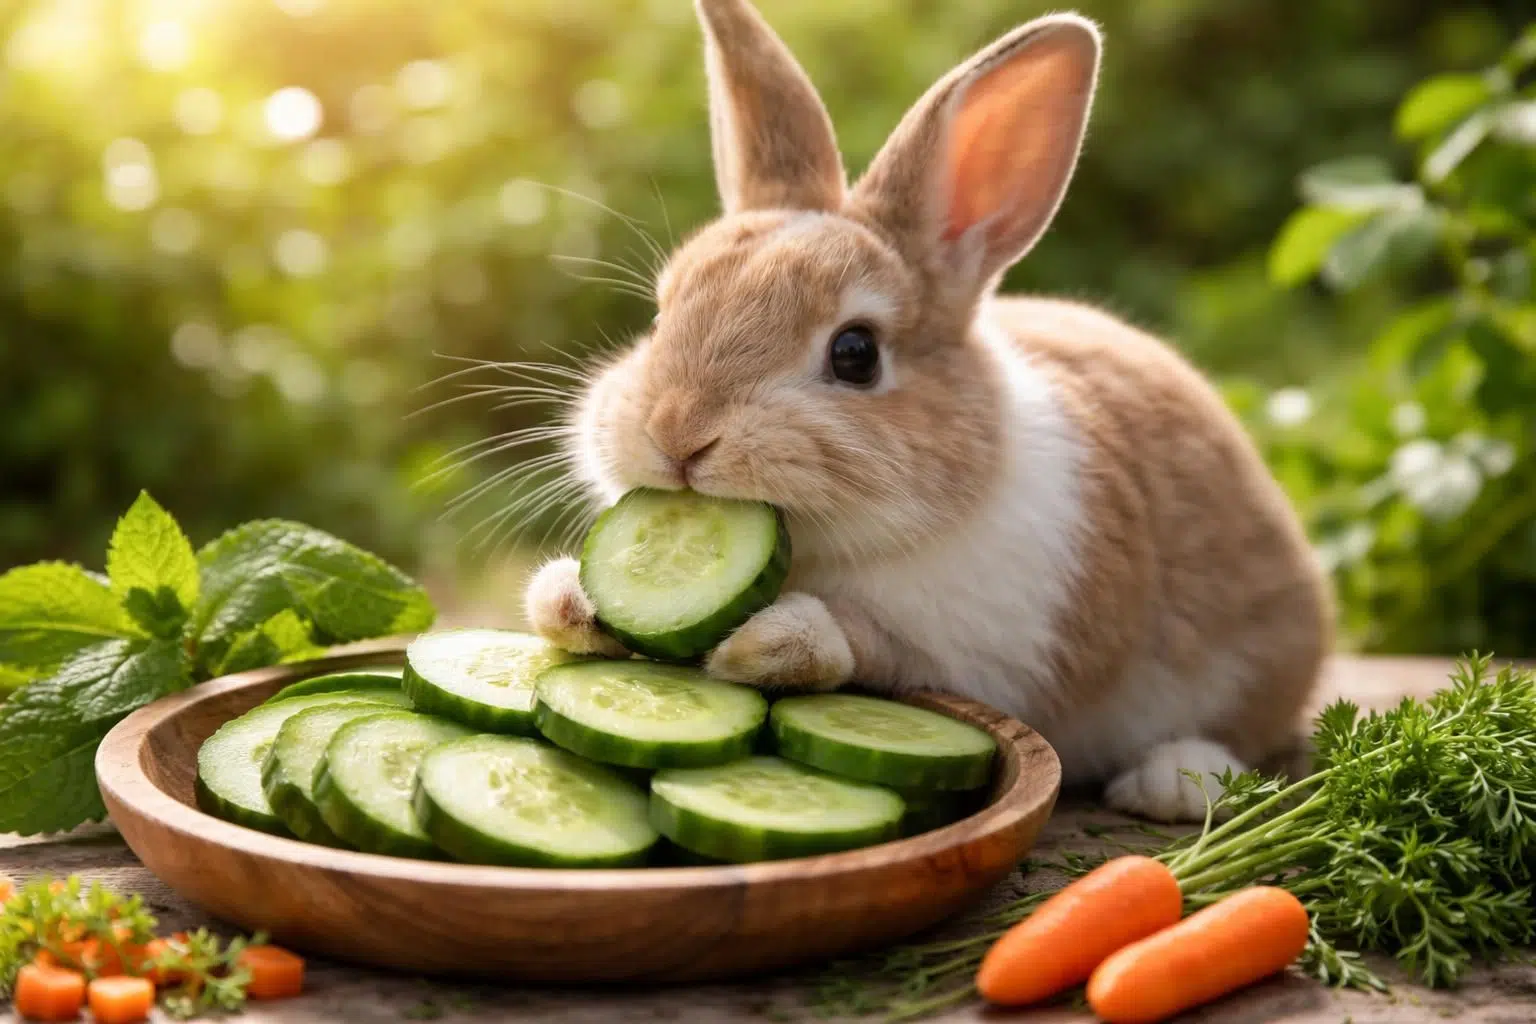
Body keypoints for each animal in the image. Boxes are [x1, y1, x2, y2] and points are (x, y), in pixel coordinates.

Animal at [523, 0, 1333, 822]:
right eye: (662, 316)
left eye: (856, 353)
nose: (677, 434)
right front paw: (565, 602)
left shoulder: (975, 650)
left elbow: (866, 643)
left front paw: (768, 643)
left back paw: (1171, 781)